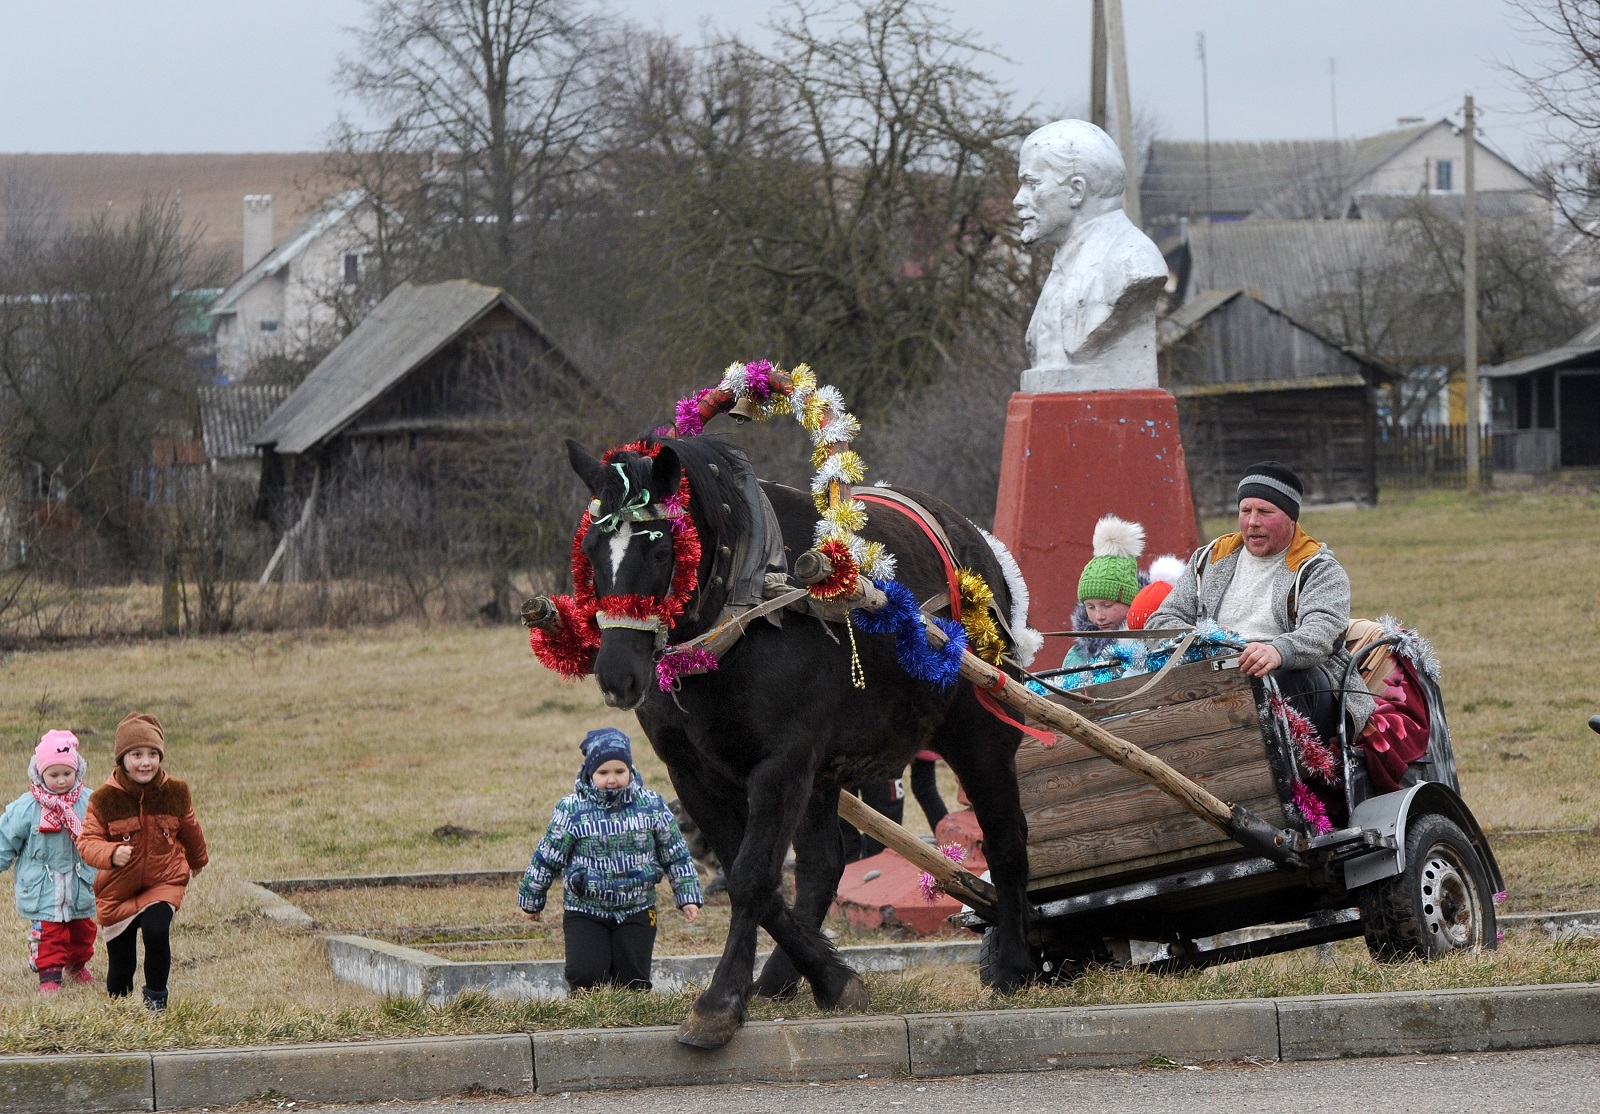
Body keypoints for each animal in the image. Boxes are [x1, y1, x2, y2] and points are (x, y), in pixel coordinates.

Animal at [569, 432, 1030, 1043]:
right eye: (592, 548)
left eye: (663, 550)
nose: (617, 674)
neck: (742, 610)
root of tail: (981, 554)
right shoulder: (694, 772)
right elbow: (757, 878)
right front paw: (830, 979)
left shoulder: (781, 763)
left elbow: (752, 877)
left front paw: (720, 1002)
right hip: (827, 771)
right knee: (823, 866)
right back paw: (789, 977)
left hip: (981, 737)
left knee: (1006, 840)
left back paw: (1018, 963)